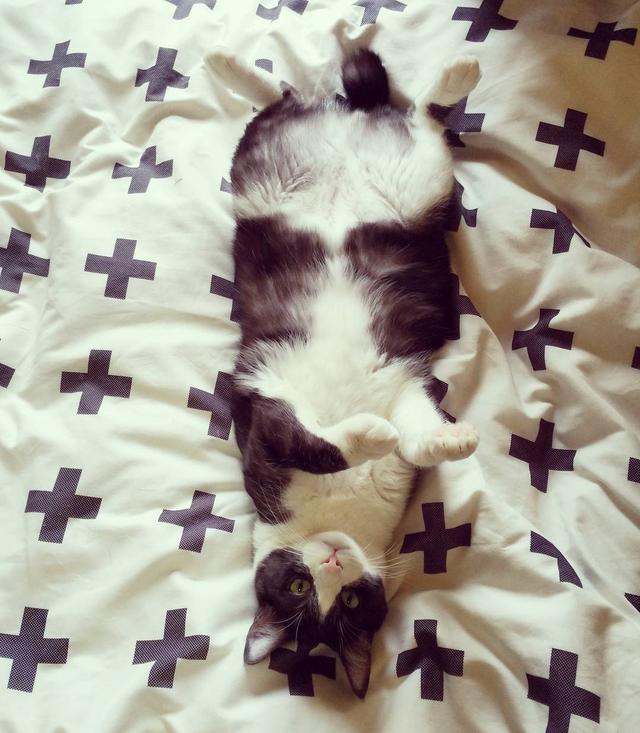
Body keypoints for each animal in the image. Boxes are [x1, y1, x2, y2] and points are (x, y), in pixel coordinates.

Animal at [229, 49, 481, 698]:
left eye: (344, 601)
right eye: (303, 591)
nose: (334, 562)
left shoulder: (396, 382)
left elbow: (414, 437)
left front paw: (446, 439)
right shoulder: (268, 421)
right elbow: (322, 442)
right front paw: (371, 435)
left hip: (376, 187)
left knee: (382, 108)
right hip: (400, 183)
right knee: (412, 119)